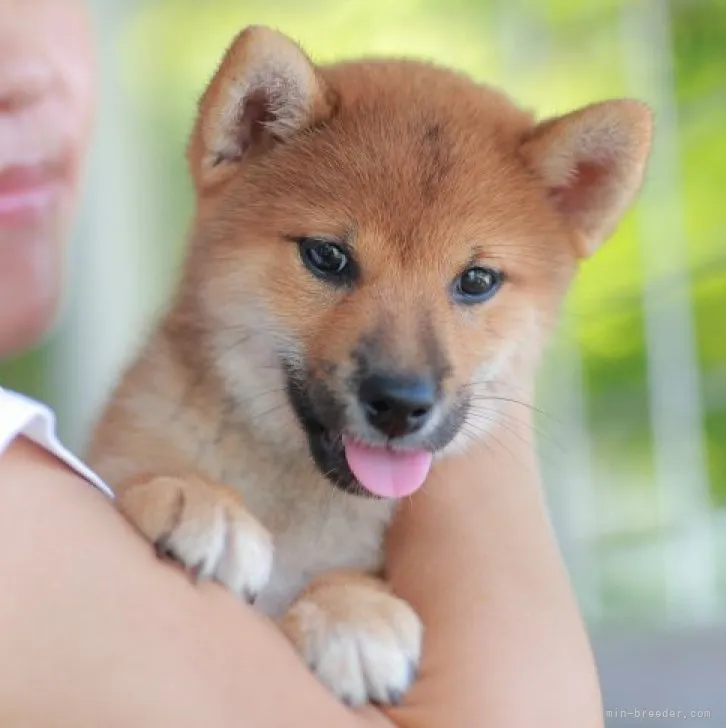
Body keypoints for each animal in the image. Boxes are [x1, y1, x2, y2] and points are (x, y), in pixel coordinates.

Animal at [86, 25, 656, 708]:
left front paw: (351, 611)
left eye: (476, 280)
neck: (297, 499)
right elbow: (144, 475)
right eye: (327, 257)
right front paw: (198, 498)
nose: (400, 404)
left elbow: (349, 580)